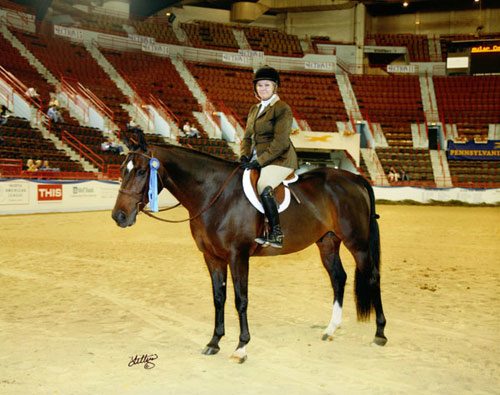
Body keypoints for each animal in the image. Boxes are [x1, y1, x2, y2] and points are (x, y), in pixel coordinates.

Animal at [112, 134, 386, 366]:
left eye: (141, 171)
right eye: (122, 170)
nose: (119, 216)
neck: (214, 195)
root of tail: (354, 178)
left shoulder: (238, 256)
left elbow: (240, 299)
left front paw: (241, 347)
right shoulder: (212, 257)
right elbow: (218, 298)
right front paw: (214, 342)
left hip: (357, 243)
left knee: (372, 277)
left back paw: (380, 333)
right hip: (327, 242)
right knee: (338, 278)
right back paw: (330, 329)